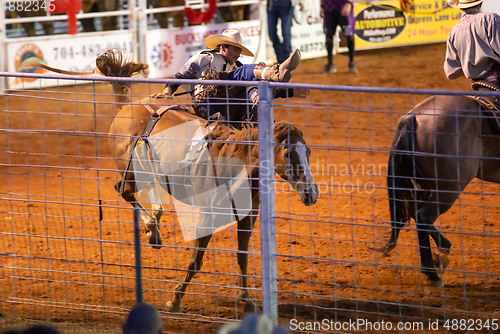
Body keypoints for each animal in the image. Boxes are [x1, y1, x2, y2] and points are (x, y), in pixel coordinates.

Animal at [95, 51, 318, 312]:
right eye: (288, 154)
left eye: (308, 152)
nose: (312, 193)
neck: (231, 164)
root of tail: (128, 106)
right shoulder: (206, 215)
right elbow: (196, 260)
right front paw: (174, 300)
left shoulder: (248, 217)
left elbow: (242, 256)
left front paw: (247, 300)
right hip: (128, 169)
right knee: (125, 191)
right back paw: (152, 229)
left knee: (149, 193)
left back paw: (155, 231)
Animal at [378, 94, 500, 288]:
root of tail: (413, 116)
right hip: (451, 187)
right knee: (423, 216)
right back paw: (433, 273)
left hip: (427, 184)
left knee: (413, 210)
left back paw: (443, 252)